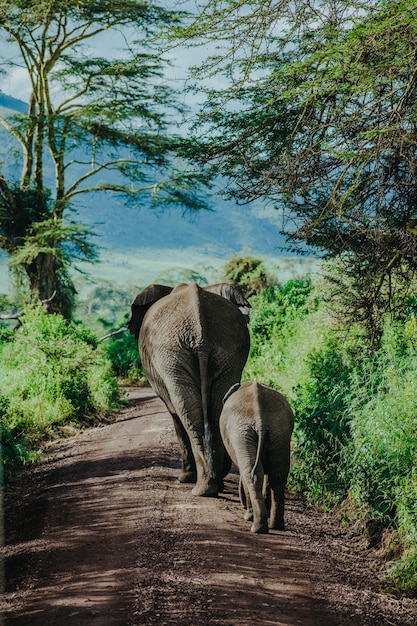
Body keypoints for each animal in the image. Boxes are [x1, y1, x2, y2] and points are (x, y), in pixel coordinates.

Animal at [128, 280, 249, 494]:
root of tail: (201, 335)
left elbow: (174, 414)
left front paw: (185, 478)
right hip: (226, 352)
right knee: (215, 408)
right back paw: (213, 484)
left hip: (171, 355)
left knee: (185, 411)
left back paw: (201, 487)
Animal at [219, 380, 294, 532]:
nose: (242, 504)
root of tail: (260, 420)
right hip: (279, 433)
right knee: (278, 476)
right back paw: (275, 526)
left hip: (242, 434)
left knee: (250, 474)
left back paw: (254, 524)